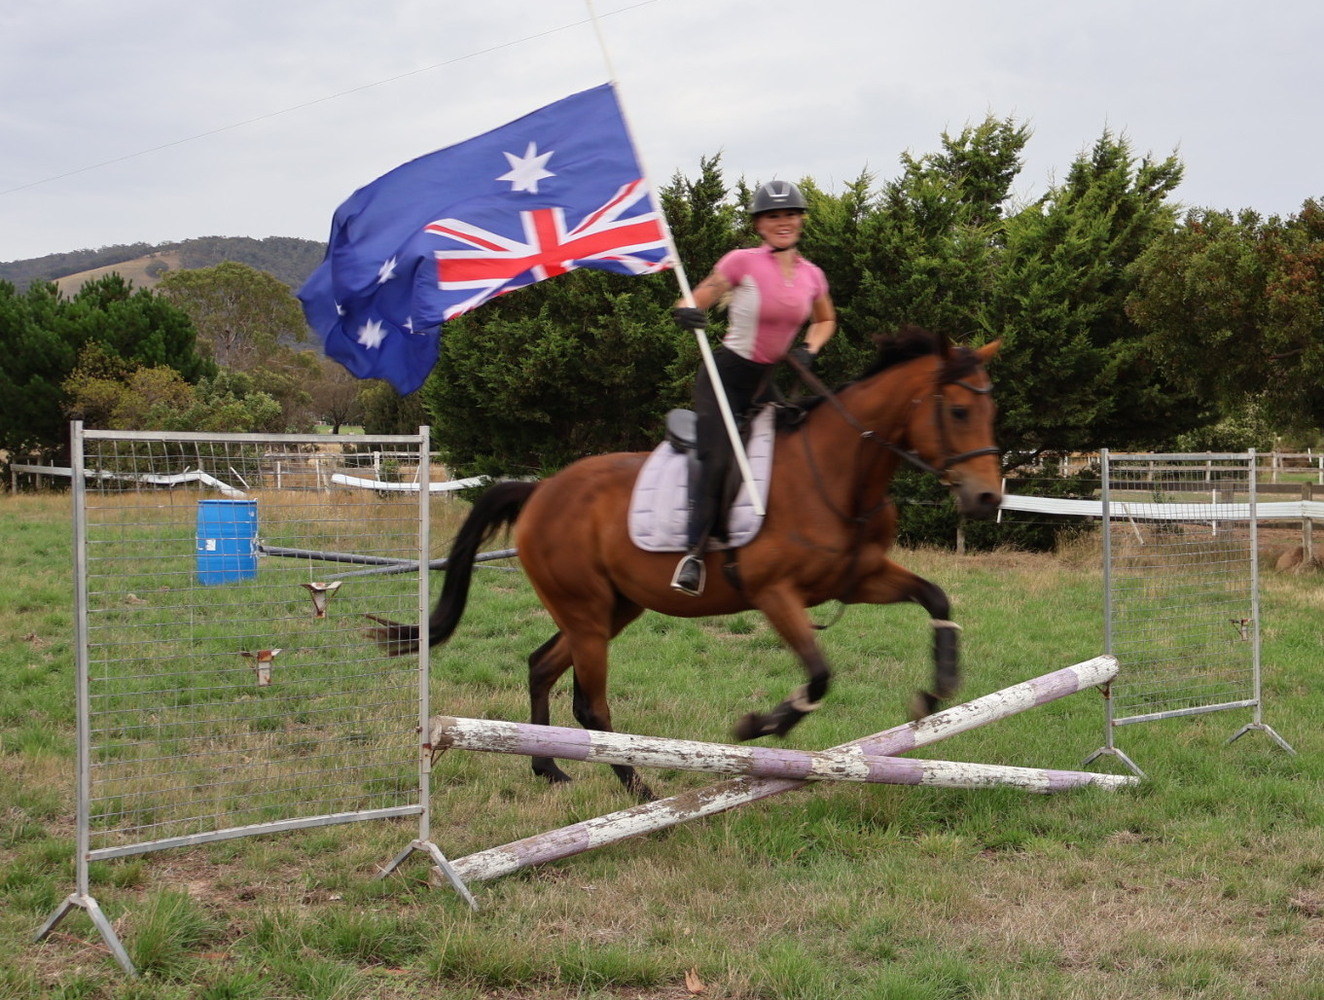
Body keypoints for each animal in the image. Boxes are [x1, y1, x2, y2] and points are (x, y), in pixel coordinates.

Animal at [368, 326, 1002, 801]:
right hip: (587, 612)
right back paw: (639, 789)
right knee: (591, 705)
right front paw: (760, 725)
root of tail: (542, 489)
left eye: (990, 411)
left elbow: (935, 598)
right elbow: (820, 674)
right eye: (959, 410)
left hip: (611, 608)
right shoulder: (775, 594)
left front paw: (937, 692)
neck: (839, 473)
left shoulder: (860, 577)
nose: (986, 498)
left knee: (541, 666)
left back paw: (549, 767)